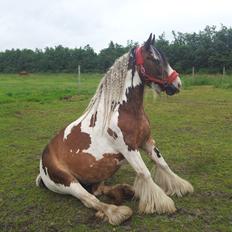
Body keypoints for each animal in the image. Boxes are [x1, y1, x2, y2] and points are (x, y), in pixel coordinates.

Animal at [35, 34, 193, 225]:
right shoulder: (129, 149)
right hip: (67, 182)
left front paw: (180, 186)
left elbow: (163, 164)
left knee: (98, 190)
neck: (123, 110)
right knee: (90, 199)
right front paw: (161, 204)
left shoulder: (147, 142)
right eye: (155, 59)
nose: (177, 84)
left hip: (99, 174)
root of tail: (42, 164)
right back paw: (118, 212)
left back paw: (125, 190)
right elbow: (145, 173)